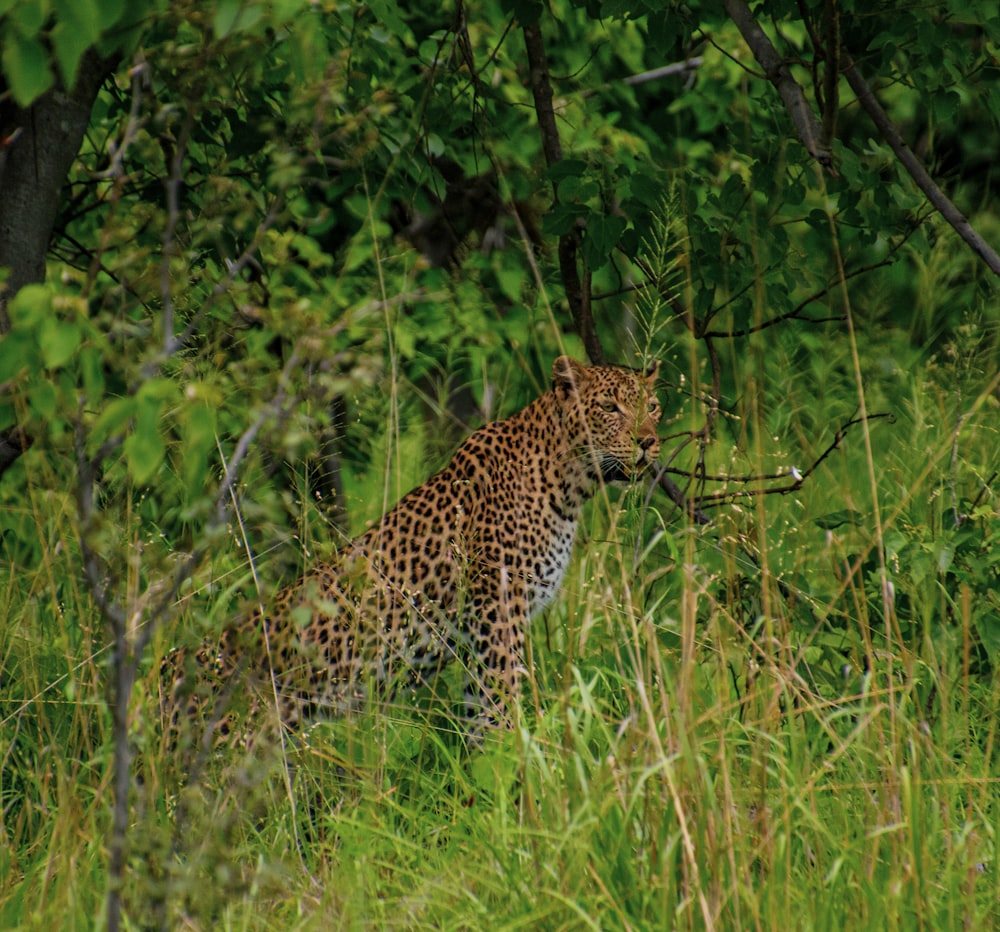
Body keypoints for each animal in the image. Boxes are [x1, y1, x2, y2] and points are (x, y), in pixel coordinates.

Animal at [163, 354, 660, 748]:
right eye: (610, 408)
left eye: (652, 406)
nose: (649, 441)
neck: (569, 484)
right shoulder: (499, 615)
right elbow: (502, 706)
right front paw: (513, 771)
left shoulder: (482, 634)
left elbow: (480, 714)